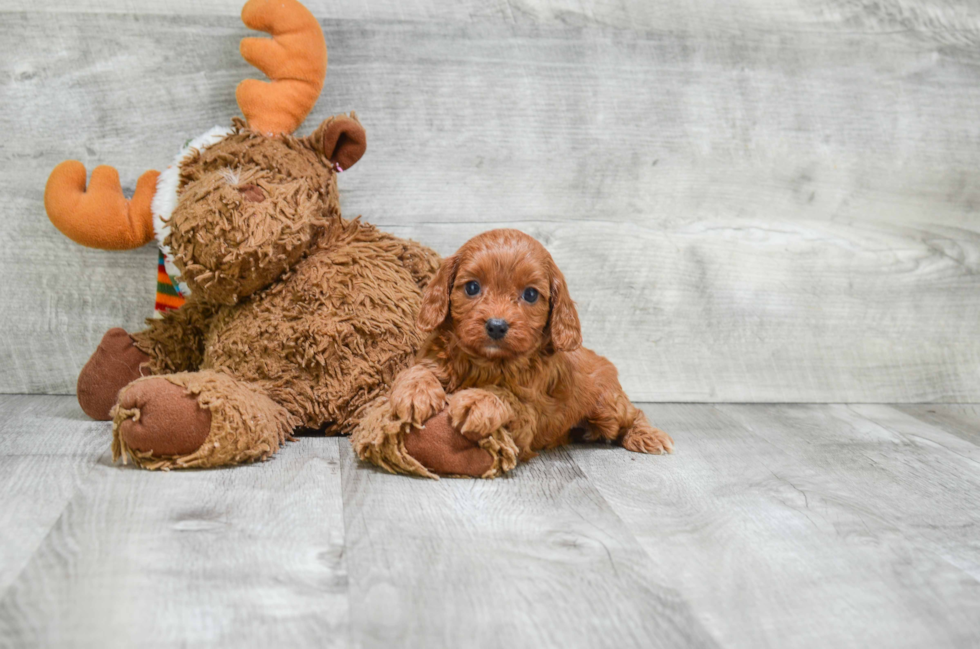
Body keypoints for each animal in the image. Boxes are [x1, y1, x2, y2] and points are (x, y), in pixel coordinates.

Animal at [384, 228, 672, 470]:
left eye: (531, 294)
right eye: (472, 287)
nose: (496, 326)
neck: (487, 362)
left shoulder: (529, 416)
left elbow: (505, 395)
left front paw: (478, 400)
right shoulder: (435, 357)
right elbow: (418, 370)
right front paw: (415, 392)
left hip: (607, 406)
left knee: (632, 415)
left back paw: (649, 436)